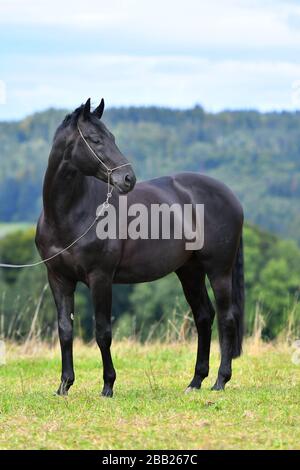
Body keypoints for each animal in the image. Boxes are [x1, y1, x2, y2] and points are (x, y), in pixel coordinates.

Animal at [36, 98, 245, 396]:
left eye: (112, 137)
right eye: (95, 139)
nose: (128, 179)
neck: (70, 214)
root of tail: (230, 196)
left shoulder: (100, 278)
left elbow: (103, 332)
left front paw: (108, 386)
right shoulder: (58, 278)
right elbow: (65, 330)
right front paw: (64, 386)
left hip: (219, 271)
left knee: (227, 318)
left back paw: (220, 381)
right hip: (190, 271)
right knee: (204, 317)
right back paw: (195, 381)